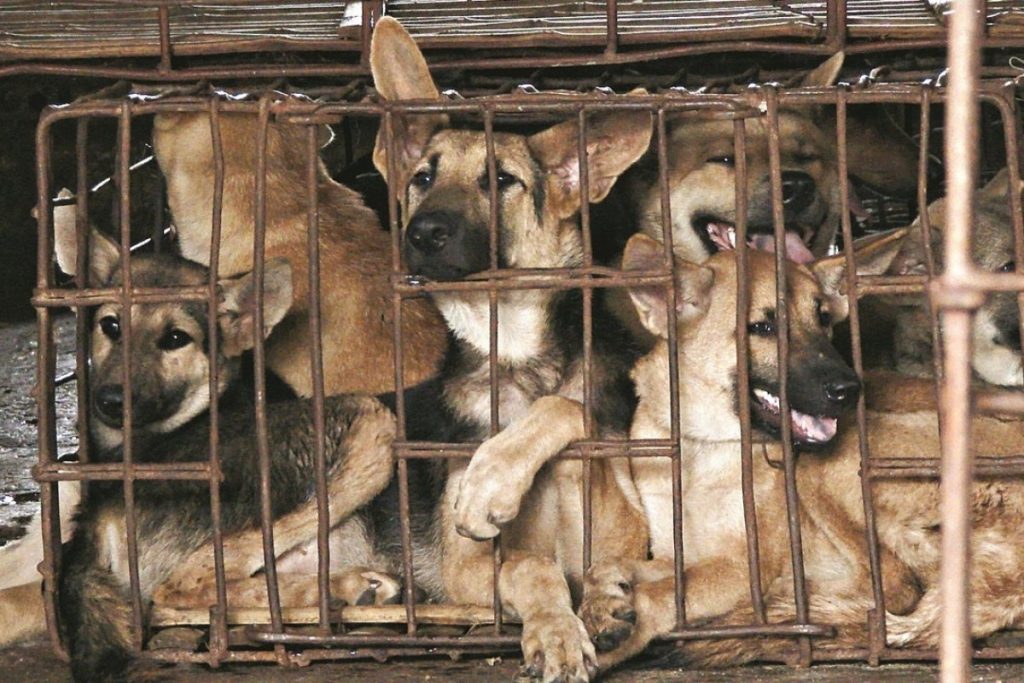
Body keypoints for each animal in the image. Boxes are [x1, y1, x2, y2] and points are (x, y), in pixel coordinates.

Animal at [577, 232, 1024, 671]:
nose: (849, 390)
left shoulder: (742, 568)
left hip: (830, 465)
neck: (704, 446)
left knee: (895, 588)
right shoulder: (679, 552)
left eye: (823, 319)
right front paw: (603, 595)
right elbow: (610, 565)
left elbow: (669, 592)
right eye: (762, 326)